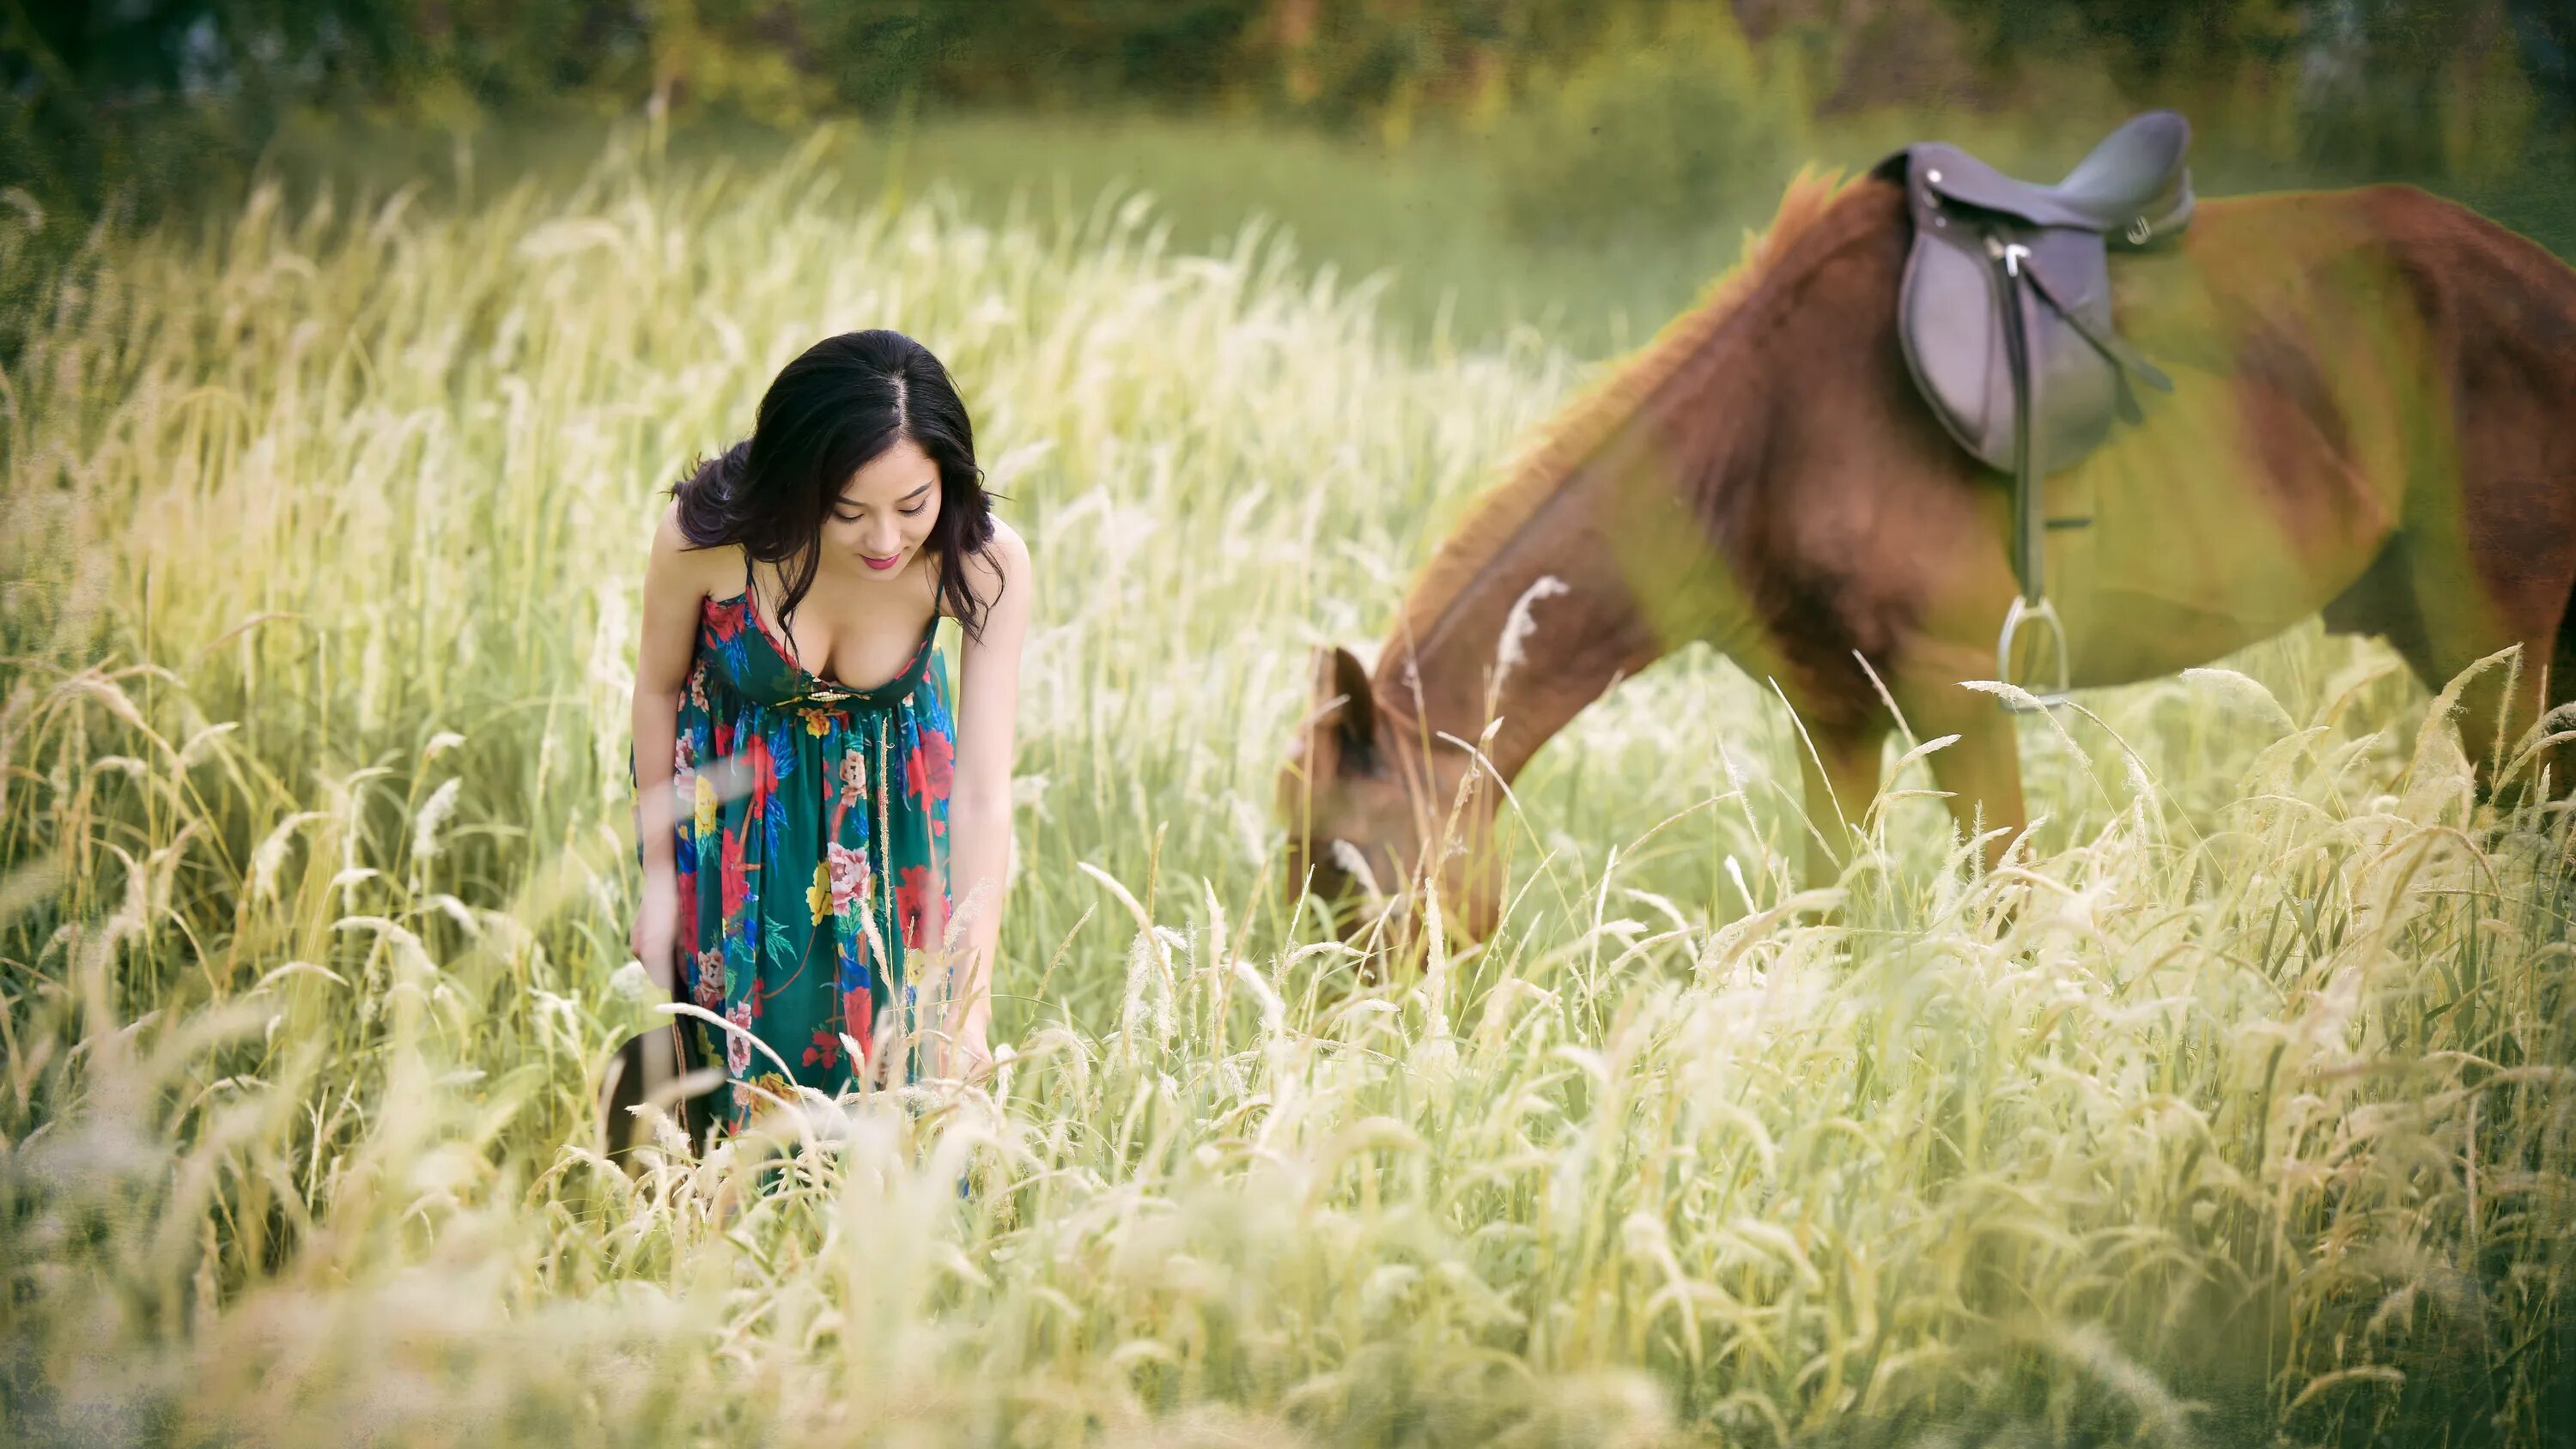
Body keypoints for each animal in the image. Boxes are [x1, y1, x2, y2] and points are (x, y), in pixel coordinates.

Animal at [1283, 169, 2576, 947]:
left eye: (1348, 875)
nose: (1354, 1054)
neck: (1769, 431)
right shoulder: (1833, 720)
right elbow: (1833, 913)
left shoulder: (1960, 698)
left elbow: (2008, 905)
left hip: (2496, 641)